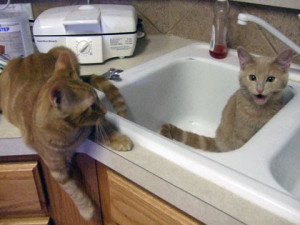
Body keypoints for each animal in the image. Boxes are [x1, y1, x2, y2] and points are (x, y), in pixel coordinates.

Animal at [0, 45, 132, 220]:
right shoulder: (57, 170)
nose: (105, 109)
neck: (71, 135)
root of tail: (28, 56)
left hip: (65, 50)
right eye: (93, 106)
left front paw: (119, 140)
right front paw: (88, 211)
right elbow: (73, 191)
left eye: (98, 99)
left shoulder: (95, 124)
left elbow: (106, 128)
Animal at [161, 47, 292, 153]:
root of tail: (217, 140)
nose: (260, 89)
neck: (258, 111)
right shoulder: (240, 136)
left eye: (270, 79)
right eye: (252, 77)